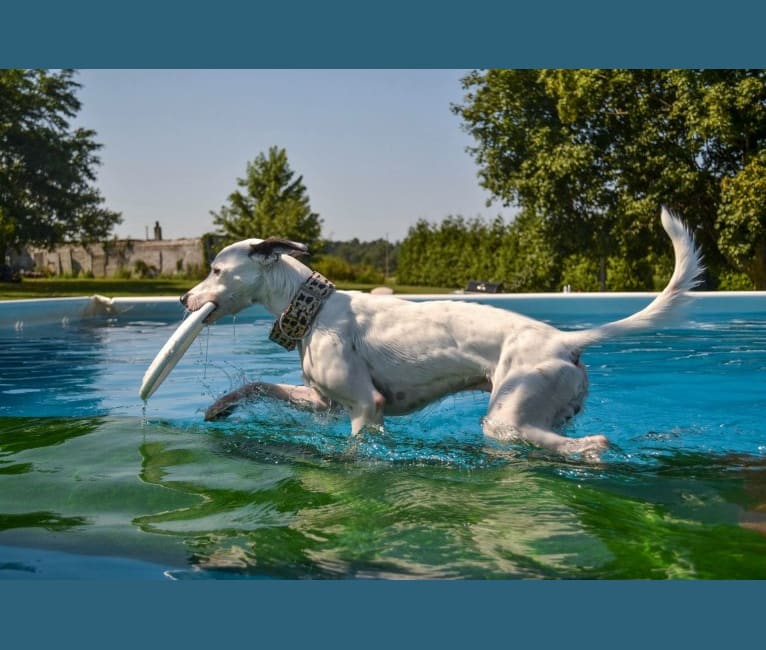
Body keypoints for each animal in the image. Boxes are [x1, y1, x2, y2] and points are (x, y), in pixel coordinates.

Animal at [183, 209, 704, 456]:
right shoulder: (322, 401)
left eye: (215, 269)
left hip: (508, 420)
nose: (185, 299)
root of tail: (565, 340)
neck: (314, 309)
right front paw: (218, 408)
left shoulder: (364, 408)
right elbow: (256, 384)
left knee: (595, 445)